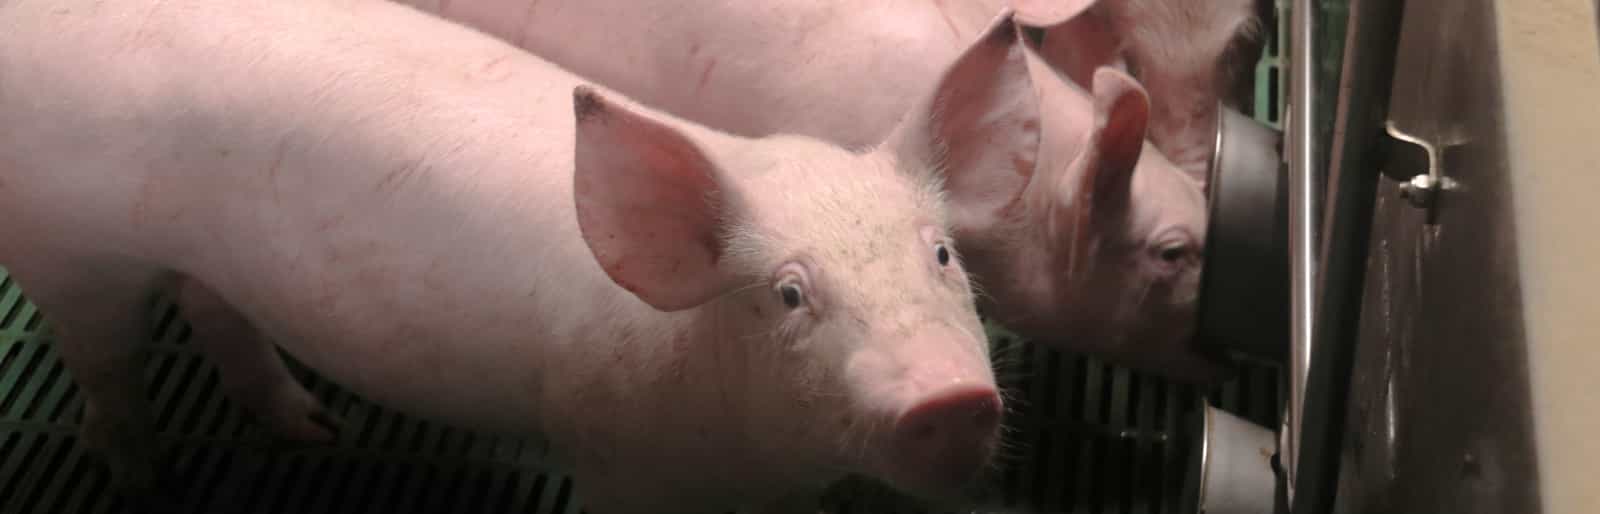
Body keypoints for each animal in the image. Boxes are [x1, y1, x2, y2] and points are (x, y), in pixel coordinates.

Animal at [0, 1, 1045, 512]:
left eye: (942, 256)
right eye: (790, 295)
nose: (951, 398)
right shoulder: (621, 461)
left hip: (202, 261)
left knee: (216, 312)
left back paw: (314, 430)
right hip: (66, 251)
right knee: (107, 367)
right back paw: (144, 482)